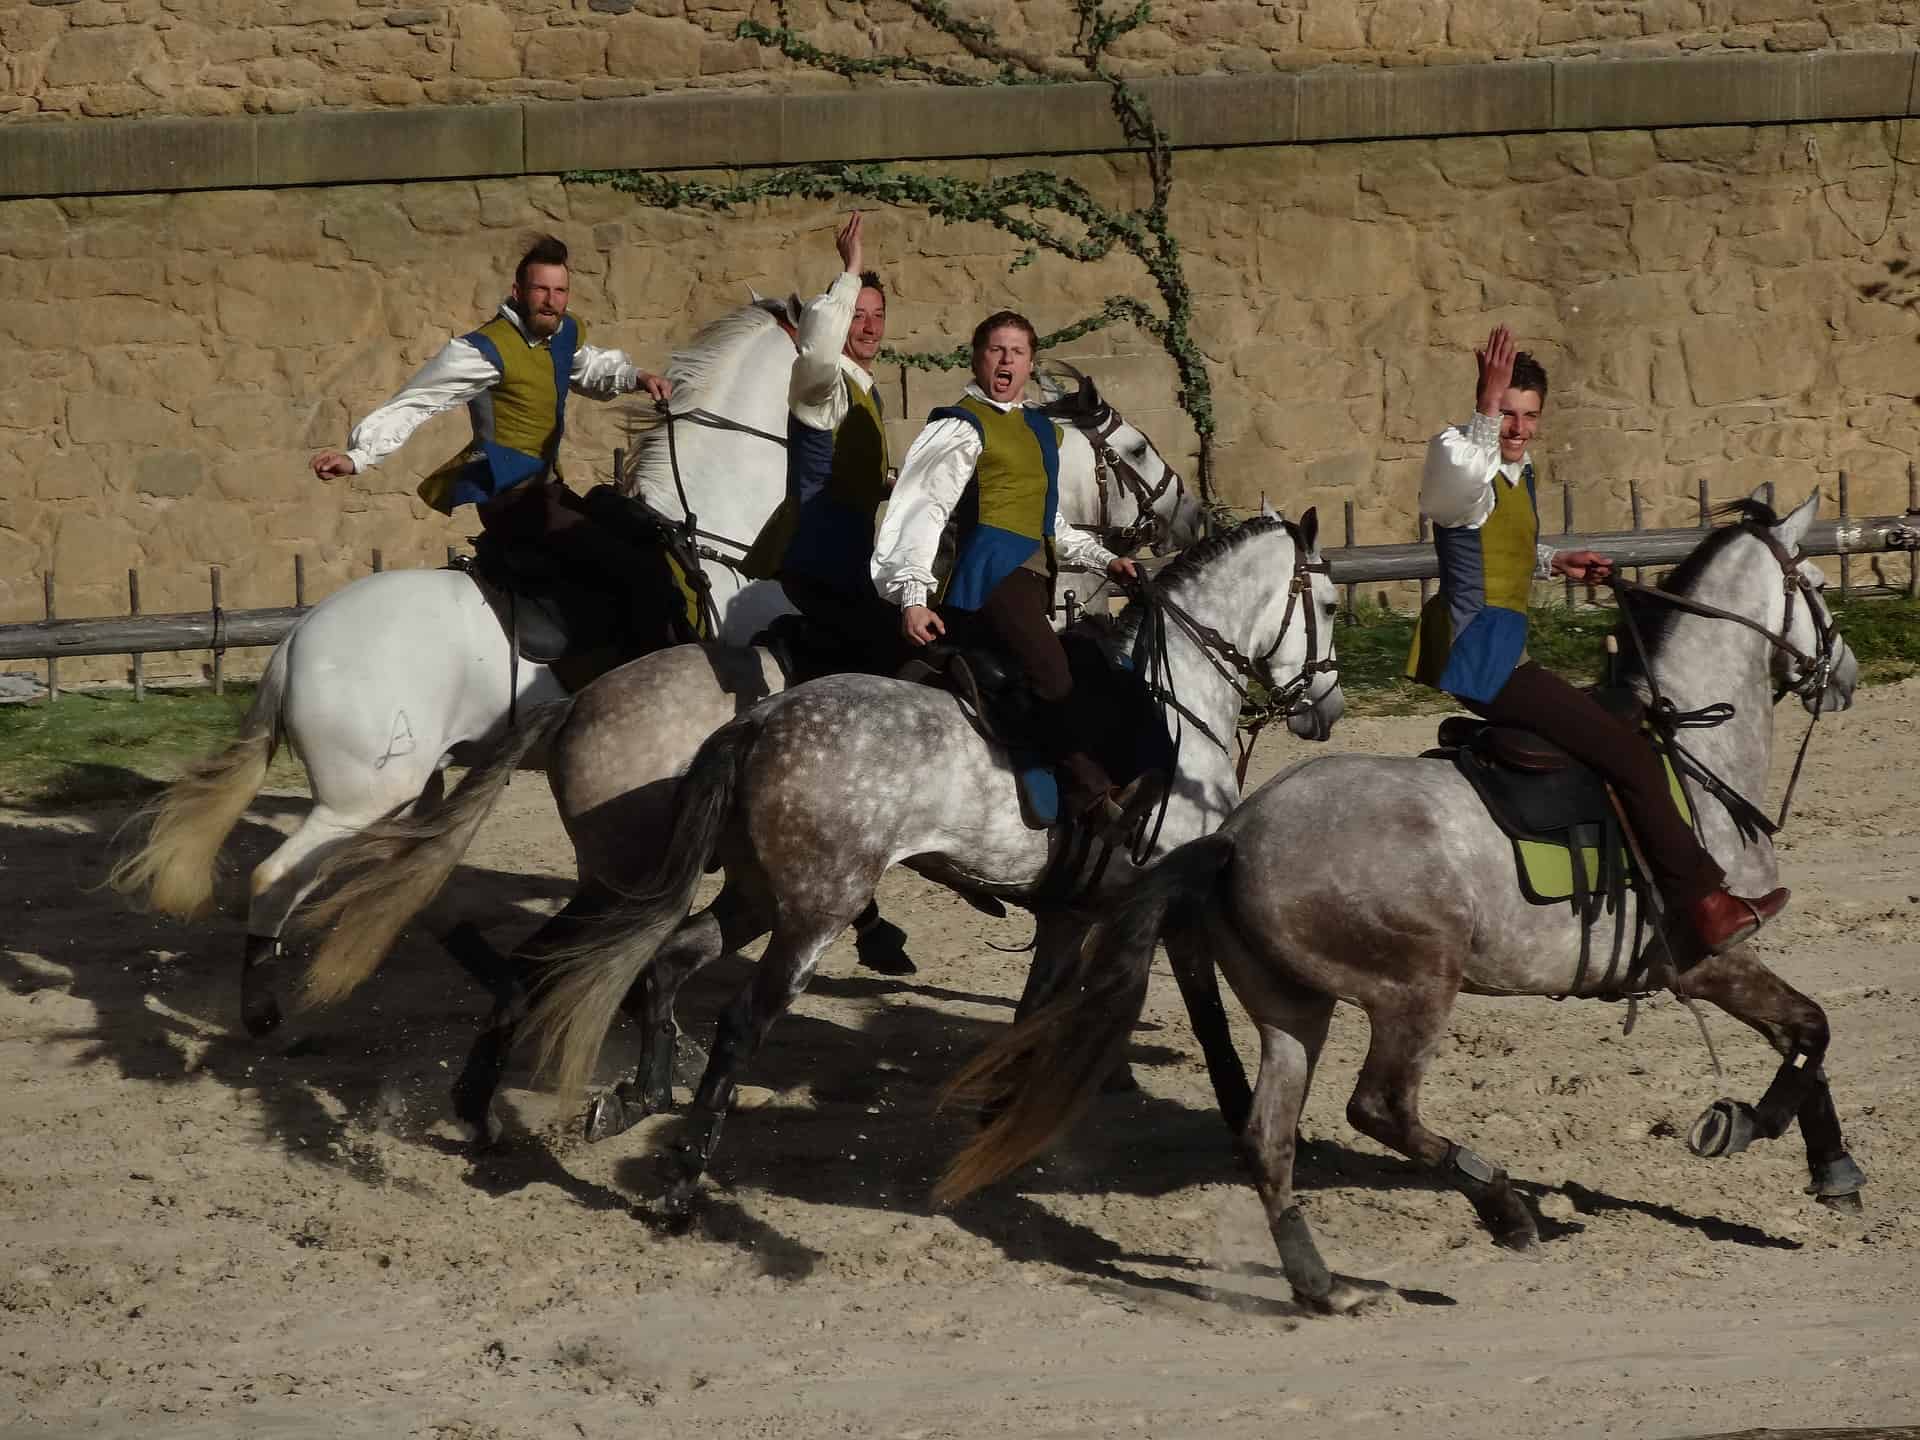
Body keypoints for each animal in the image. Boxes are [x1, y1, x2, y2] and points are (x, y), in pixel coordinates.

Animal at [936, 495, 1866, 1320]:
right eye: (1819, 584)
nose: (1847, 676)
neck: (1693, 751)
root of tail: (1235, 838)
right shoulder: (1709, 959)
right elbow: (1812, 1031)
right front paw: (1758, 1125)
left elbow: (1806, 1040)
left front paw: (1833, 1169)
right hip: (1414, 987)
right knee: (1379, 1107)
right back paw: (1503, 1207)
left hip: (1292, 1010)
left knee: (1268, 1138)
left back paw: (1324, 1285)